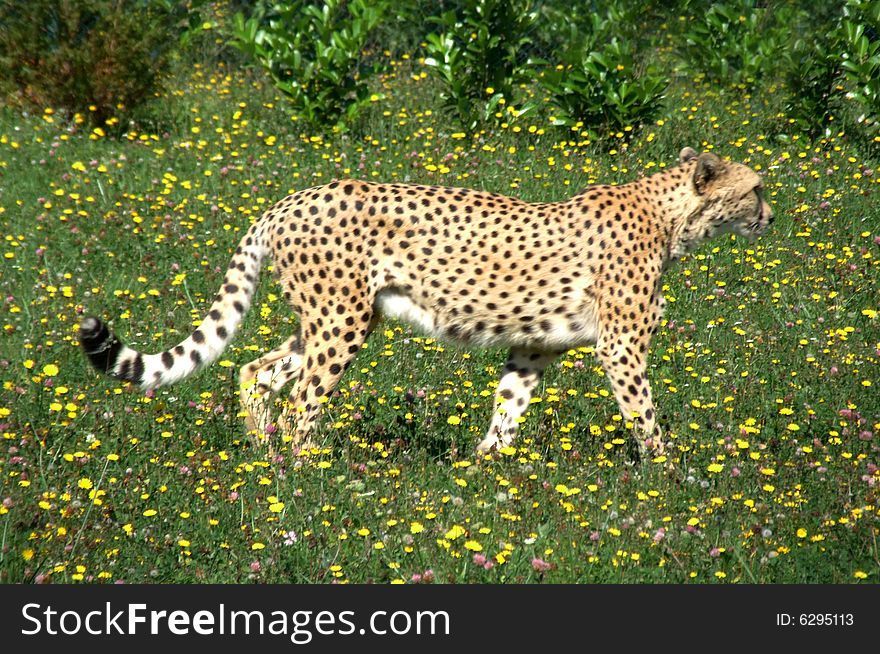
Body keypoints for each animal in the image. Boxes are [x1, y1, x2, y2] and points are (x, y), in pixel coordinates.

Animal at [81, 146, 768, 458]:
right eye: (756, 188)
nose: (770, 212)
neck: (671, 216)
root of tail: (290, 198)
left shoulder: (532, 347)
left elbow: (507, 411)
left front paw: (482, 476)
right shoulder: (621, 346)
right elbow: (646, 418)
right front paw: (668, 483)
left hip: (331, 319)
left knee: (255, 371)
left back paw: (266, 459)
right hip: (341, 321)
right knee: (303, 398)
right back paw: (306, 478)